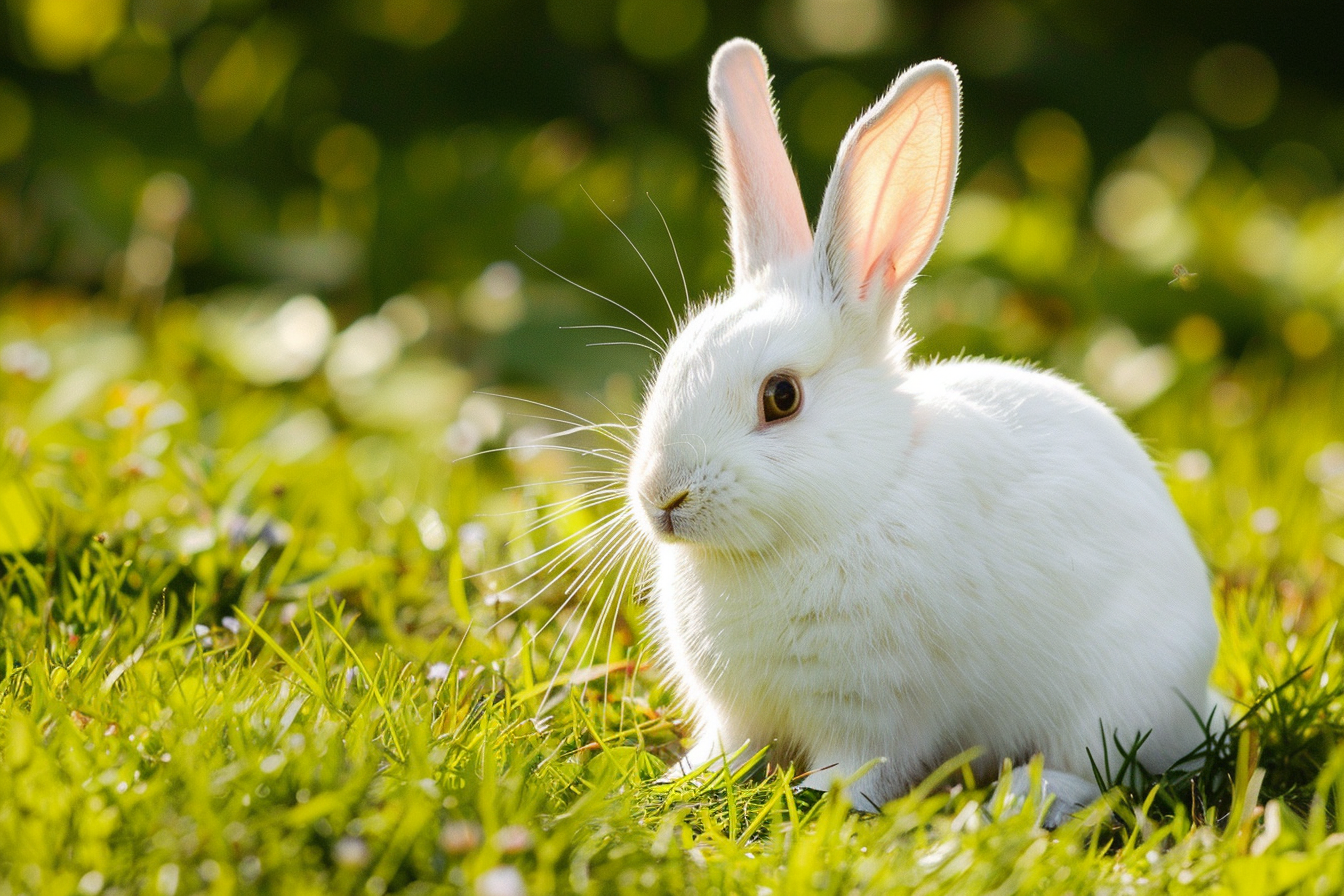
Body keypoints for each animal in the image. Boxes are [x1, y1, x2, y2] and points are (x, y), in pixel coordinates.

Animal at [621, 38, 1222, 825]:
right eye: (670, 365)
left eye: (781, 397)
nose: (663, 498)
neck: (857, 501)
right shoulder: (738, 717)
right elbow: (725, 754)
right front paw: (675, 786)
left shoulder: (870, 715)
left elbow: (853, 770)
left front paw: (816, 805)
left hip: (1109, 705)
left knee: (1101, 772)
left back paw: (1021, 800)